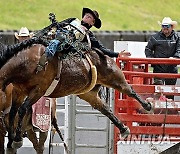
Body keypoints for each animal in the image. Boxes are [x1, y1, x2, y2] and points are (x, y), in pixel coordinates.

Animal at [0, 38, 151, 150]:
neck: (27, 61)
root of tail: (103, 54)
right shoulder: (19, 91)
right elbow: (13, 112)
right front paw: (12, 138)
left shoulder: (38, 90)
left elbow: (22, 109)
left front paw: (17, 139)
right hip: (88, 94)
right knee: (105, 109)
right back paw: (124, 128)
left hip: (116, 79)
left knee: (130, 91)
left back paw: (147, 106)